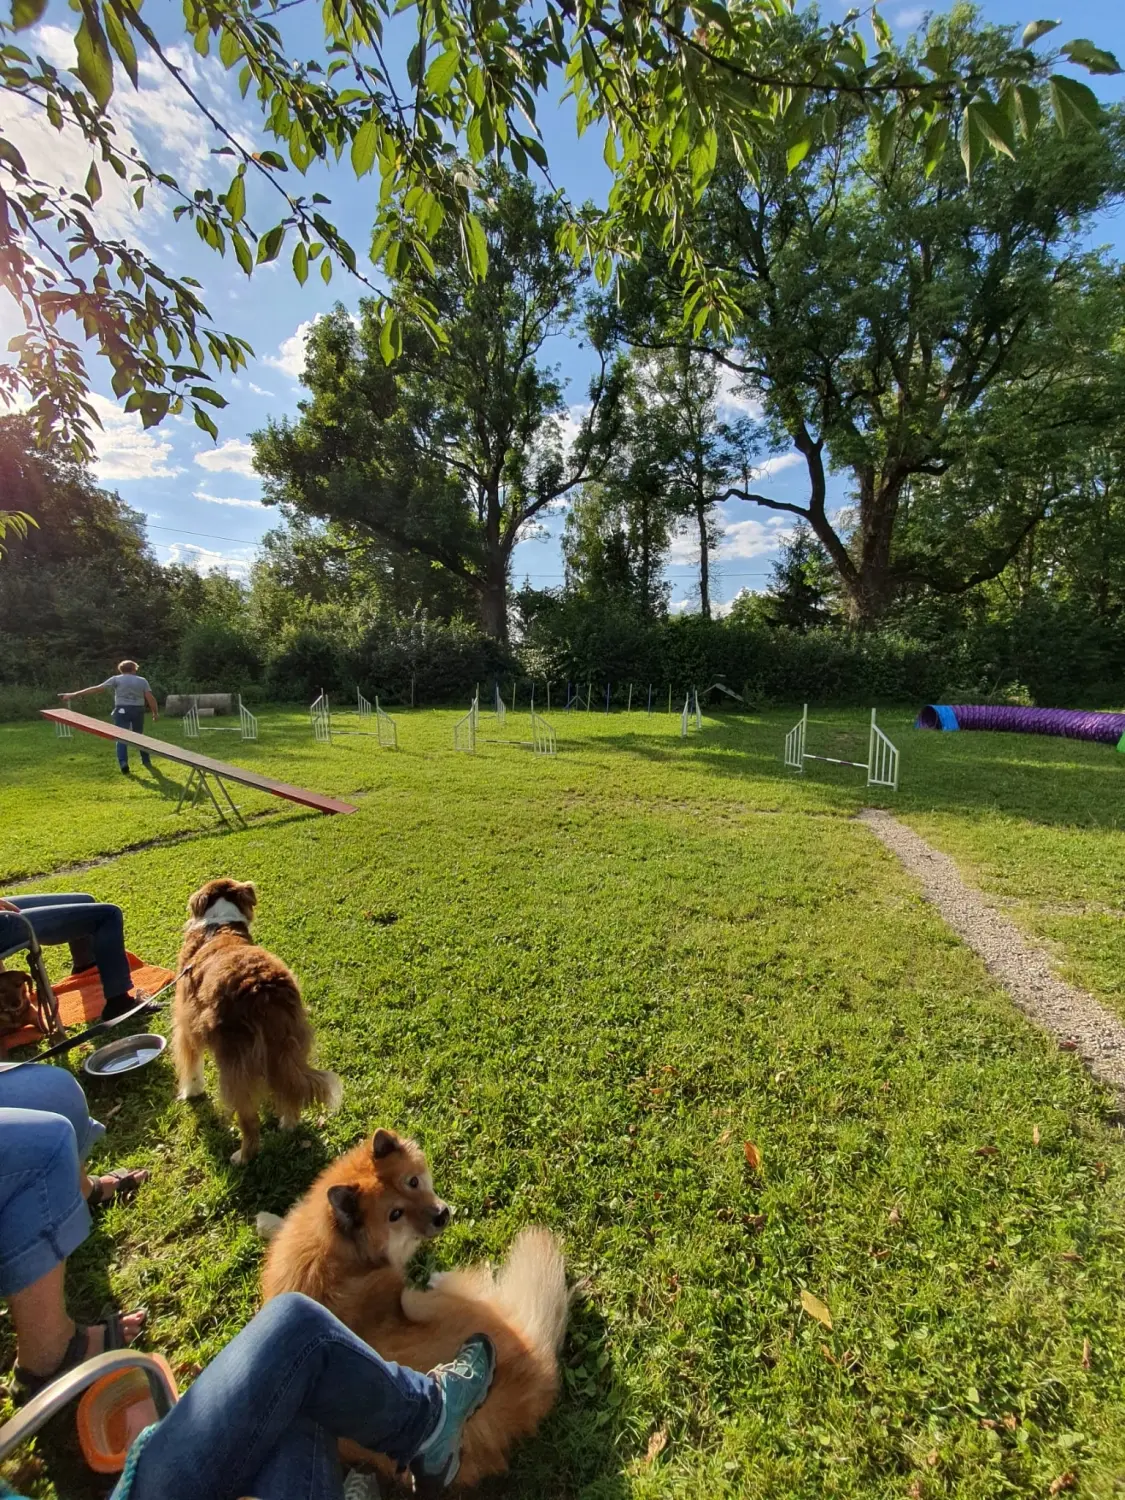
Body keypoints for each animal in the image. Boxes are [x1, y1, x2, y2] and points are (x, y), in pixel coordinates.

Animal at [174, 876, 342, 1164]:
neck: (220, 925)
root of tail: (261, 988)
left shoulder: (187, 1027)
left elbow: (191, 1066)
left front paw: (191, 1092)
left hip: (234, 1063)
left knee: (250, 1120)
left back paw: (243, 1156)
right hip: (289, 1043)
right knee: (289, 1088)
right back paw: (288, 1123)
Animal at [261, 1128, 567, 1488]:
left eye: (413, 1182)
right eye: (395, 1215)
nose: (442, 1215)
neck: (338, 1251)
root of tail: (535, 1377)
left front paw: (267, 1221)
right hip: (421, 1305)